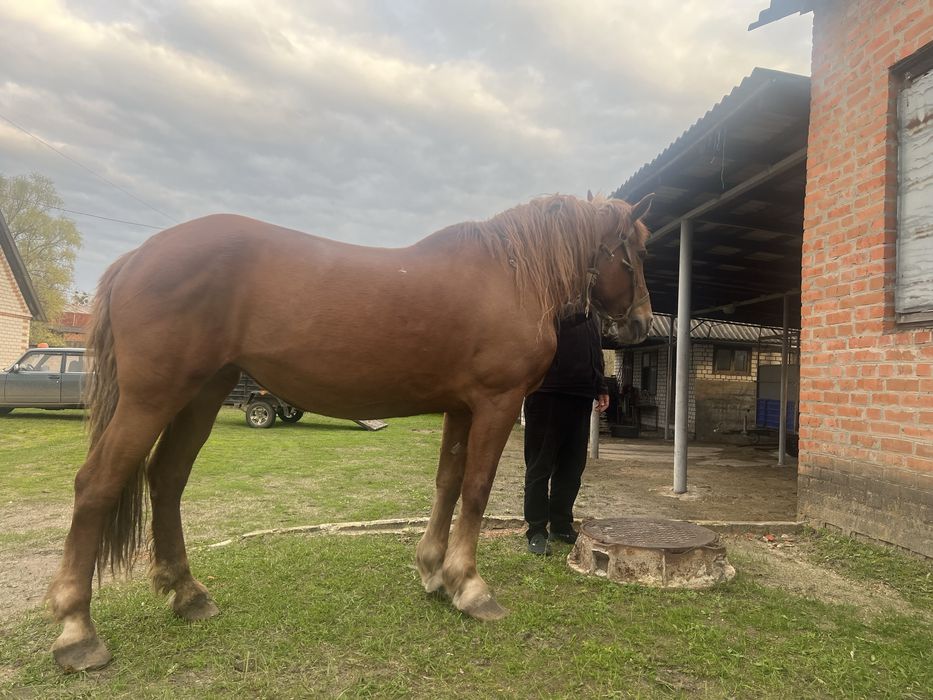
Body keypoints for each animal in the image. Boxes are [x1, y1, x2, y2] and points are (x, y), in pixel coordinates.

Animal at [45, 192, 654, 671]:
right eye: (638, 251)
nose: (643, 324)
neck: (510, 275)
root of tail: (138, 256)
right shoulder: (496, 403)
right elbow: (477, 490)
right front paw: (471, 587)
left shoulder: (460, 408)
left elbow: (448, 483)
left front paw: (434, 573)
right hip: (153, 398)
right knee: (97, 485)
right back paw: (78, 632)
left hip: (201, 393)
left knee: (167, 479)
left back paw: (188, 594)